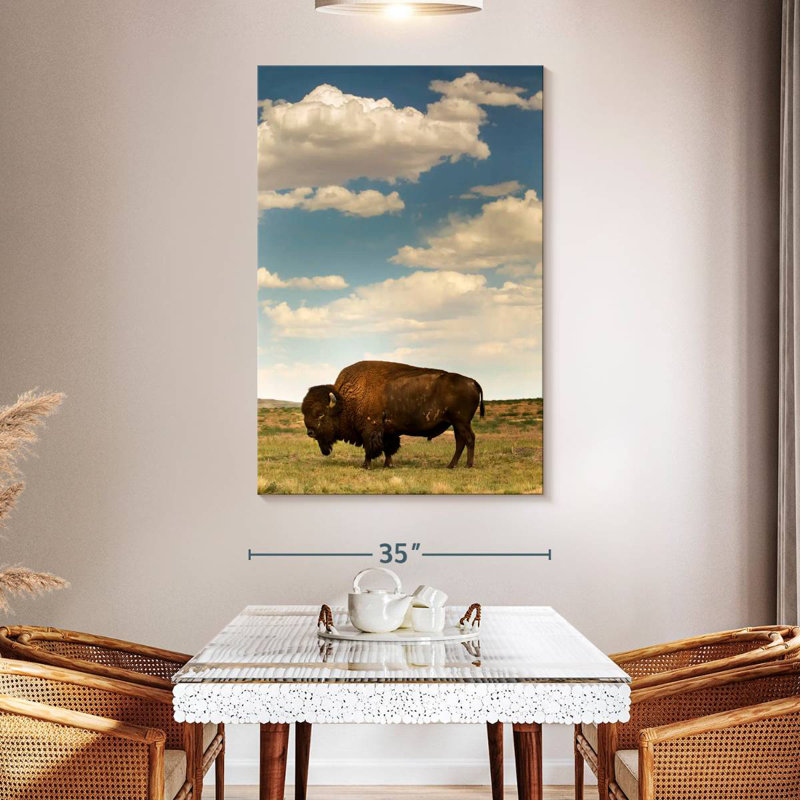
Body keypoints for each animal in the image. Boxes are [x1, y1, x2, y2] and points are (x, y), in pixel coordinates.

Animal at [301, 361, 485, 469]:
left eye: (320, 414)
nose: (310, 432)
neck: (345, 400)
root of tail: (472, 382)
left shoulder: (370, 430)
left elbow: (370, 448)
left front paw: (366, 465)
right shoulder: (387, 432)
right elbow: (388, 448)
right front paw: (388, 465)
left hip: (461, 422)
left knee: (469, 439)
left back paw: (468, 465)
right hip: (456, 423)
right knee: (460, 441)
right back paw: (451, 465)